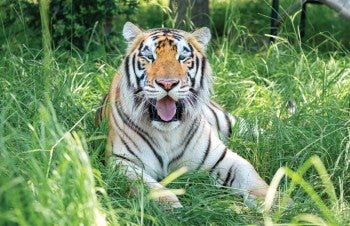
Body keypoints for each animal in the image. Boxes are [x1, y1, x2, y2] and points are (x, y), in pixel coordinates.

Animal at [97, 22, 270, 207]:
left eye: (182, 57)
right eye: (149, 57)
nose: (167, 84)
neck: (167, 133)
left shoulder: (223, 158)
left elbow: (252, 177)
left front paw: (273, 204)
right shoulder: (122, 161)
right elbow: (148, 187)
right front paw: (171, 207)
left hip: (232, 123)